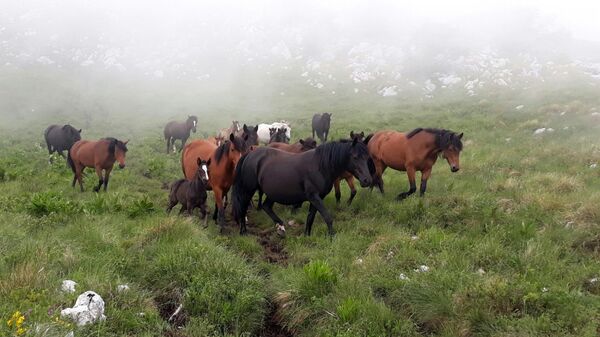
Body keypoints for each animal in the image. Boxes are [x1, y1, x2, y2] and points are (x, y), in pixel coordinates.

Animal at [232, 138, 372, 235]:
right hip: (248, 190)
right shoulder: (313, 196)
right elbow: (327, 216)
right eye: (355, 157)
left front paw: (307, 235)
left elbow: (310, 217)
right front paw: (332, 237)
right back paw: (243, 231)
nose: (367, 180)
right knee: (243, 208)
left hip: (273, 192)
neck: (320, 166)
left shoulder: (317, 197)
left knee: (266, 206)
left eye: (367, 157)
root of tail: (249, 155)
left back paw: (281, 227)